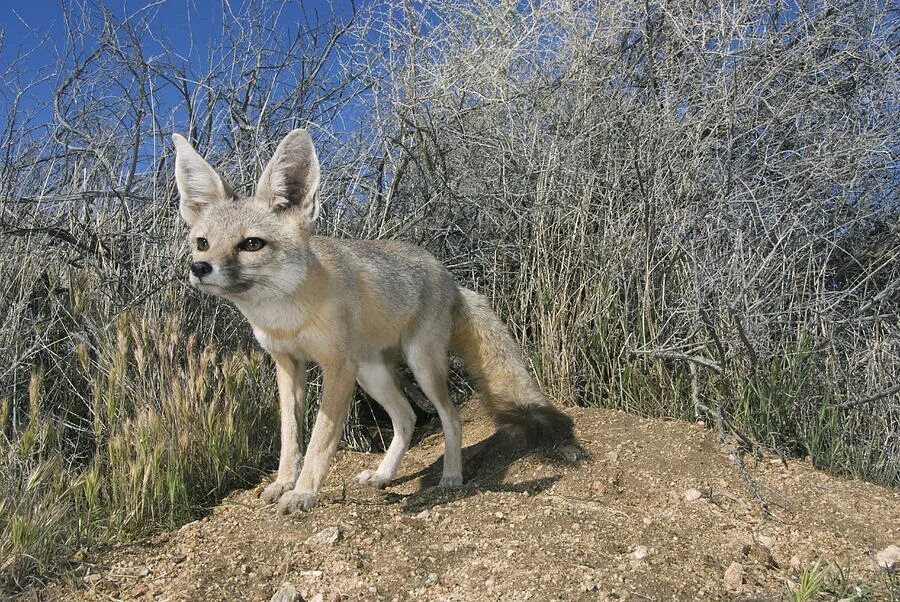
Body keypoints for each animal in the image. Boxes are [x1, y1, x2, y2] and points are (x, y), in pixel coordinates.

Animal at [172, 130, 572, 510]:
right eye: (203, 243)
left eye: (251, 244)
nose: (199, 267)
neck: (286, 315)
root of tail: (451, 278)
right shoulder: (287, 364)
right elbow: (290, 436)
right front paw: (284, 483)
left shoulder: (336, 367)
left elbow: (320, 439)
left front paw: (303, 494)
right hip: (371, 373)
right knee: (407, 418)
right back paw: (383, 475)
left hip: (419, 365)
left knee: (450, 416)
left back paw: (451, 477)